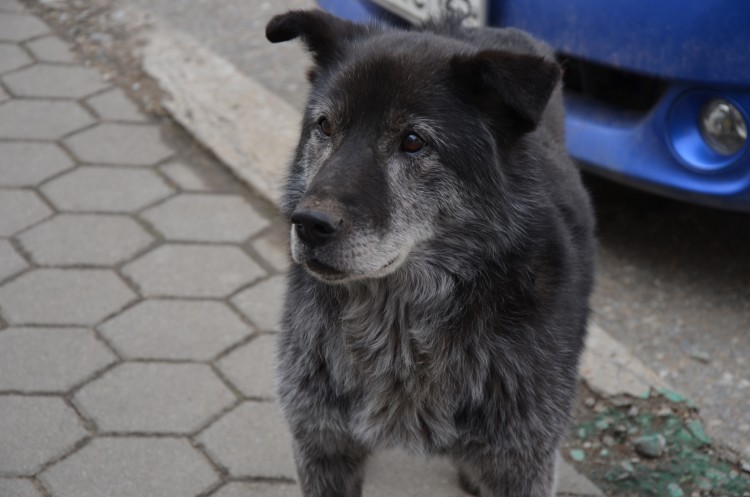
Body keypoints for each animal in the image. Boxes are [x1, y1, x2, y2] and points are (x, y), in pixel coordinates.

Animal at [268, 8, 596, 496]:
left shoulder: (523, 461)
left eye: (413, 141)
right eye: (324, 126)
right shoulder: (322, 445)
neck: (400, 327)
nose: (308, 224)